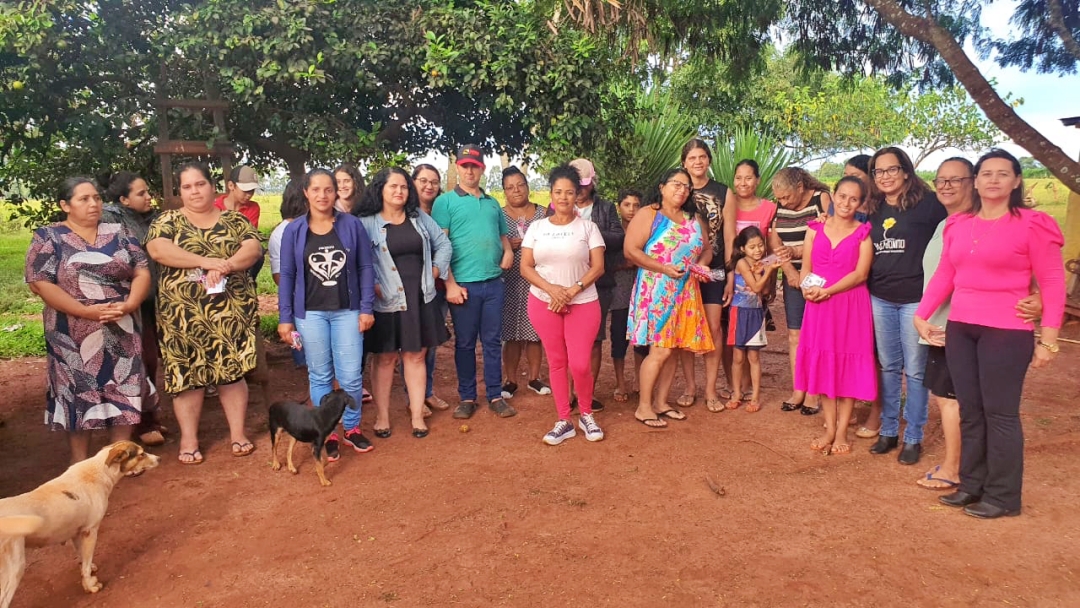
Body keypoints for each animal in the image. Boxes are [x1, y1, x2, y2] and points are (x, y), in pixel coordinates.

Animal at [0, 442, 159, 608]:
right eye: (141, 454)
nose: (159, 458)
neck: (100, 471)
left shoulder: (77, 532)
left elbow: (83, 559)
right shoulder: (91, 531)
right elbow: (87, 565)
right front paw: (90, 585)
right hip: (14, 569)